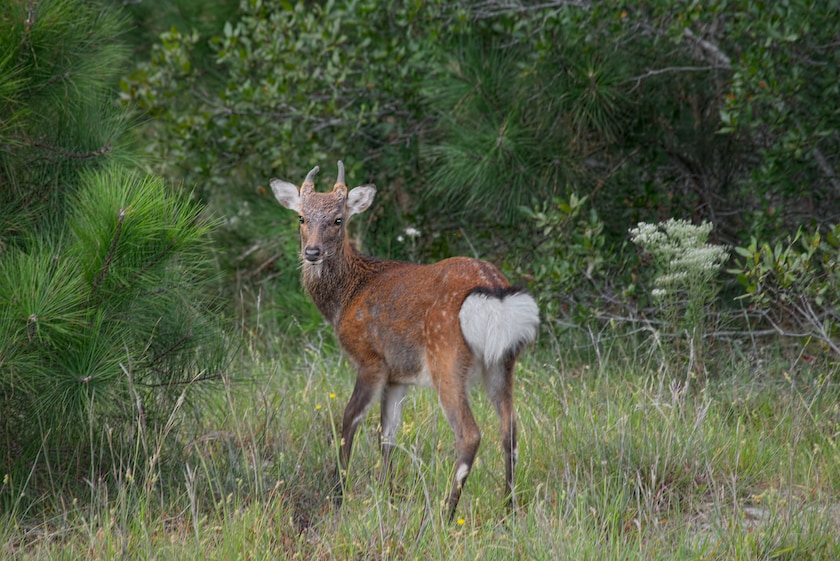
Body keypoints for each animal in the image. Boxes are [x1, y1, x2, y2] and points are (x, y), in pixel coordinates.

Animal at [272, 160, 540, 520]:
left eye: (338, 219)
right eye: (301, 217)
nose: (311, 252)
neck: (346, 298)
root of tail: (495, 292)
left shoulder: (370, 359)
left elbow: (349, 420)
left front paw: (339, 497)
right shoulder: (398, 376)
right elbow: (388, 434)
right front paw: (385, 494)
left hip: (446, 356)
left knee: (470, 433)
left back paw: (445, 513)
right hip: (502, 362)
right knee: (509, 428)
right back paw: (508, 507)